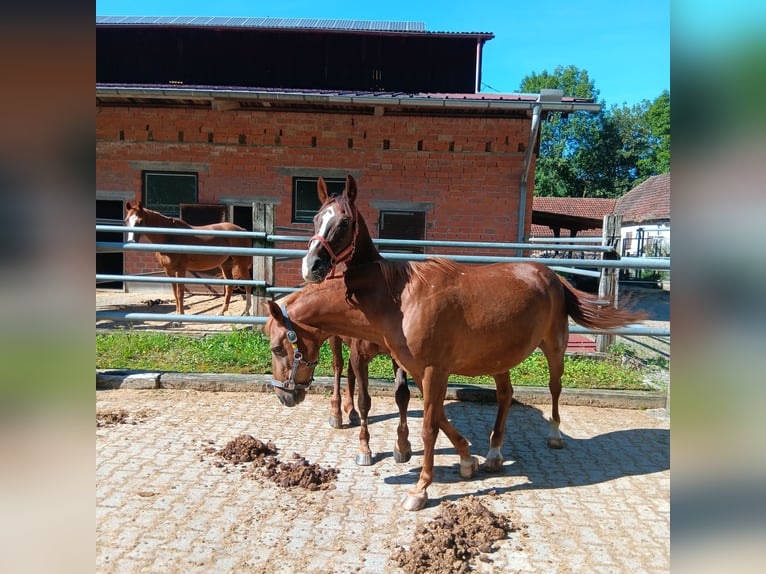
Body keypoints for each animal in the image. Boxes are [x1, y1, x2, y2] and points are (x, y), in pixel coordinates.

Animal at [124, 201, 254, 320]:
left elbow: (180, 292)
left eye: (140, 221)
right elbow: (175, 292)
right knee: (229, 286)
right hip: (225, 264)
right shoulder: (168, 271)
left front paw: (180, 316)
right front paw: (177, 313)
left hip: (241, 264)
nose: (131, 241)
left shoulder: (180, 269)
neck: (169, 237)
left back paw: (246, 311)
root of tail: (242, 230)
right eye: (126, 220)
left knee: (248, 284)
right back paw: (221, 312)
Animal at [268, 176, 644, 512]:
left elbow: (429, 427)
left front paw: (420, 489)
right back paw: (492, 454)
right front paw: (466, 459)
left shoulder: (434, 371)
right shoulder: (418, 369)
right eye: (316, 218)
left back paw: (554, 435)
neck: (399, 299)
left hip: (554, 349)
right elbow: (437, 416)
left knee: (554, 388)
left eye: (344, 222)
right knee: (505, 396)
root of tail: (551, 274)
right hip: (499, 358)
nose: (284, 396)